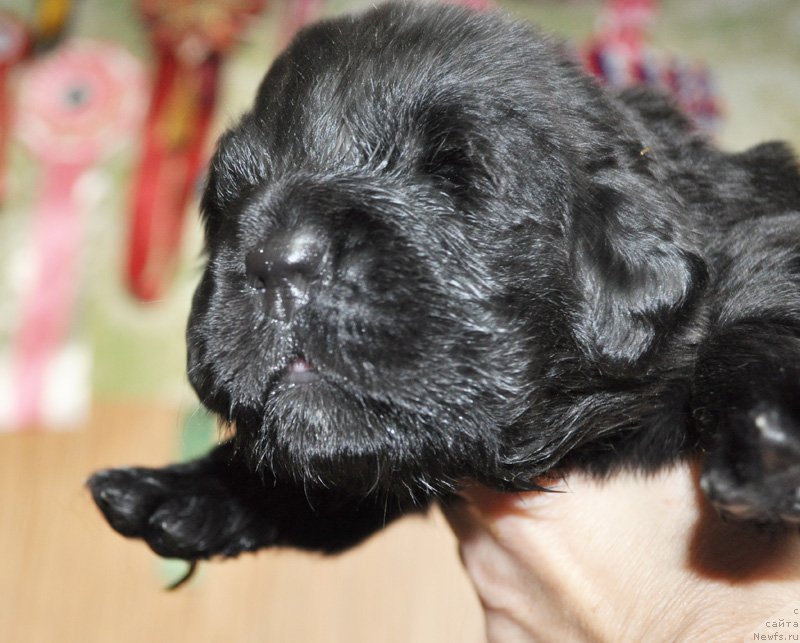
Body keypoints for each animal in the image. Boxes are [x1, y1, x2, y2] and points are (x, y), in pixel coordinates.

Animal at [87, 1, 800, 564]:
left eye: (455, 180)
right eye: (231, 203)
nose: (275, 261)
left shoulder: (764, 226)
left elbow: (760, 314)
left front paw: (765, 441)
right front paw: (186, 489)